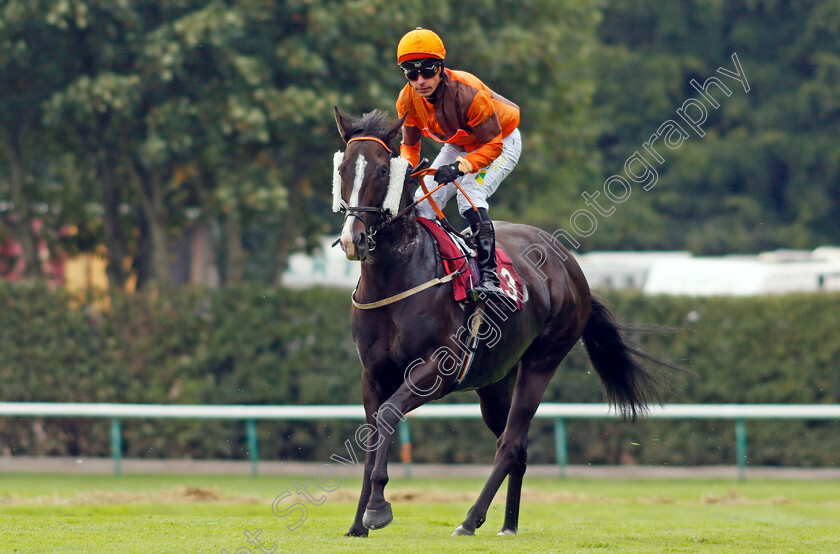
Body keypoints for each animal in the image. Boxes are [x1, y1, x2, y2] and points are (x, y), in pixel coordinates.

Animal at [332, 108, 668, 536]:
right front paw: (358, 521)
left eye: (379, 170)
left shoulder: (436, 371)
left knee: (510, 443)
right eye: (343, 168)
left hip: (542, 361)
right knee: (515, 445)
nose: (353, 239)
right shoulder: (373, 373)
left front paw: (377, 508)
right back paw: (508, 524)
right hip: (494, 380)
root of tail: (571, 266)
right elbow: (373, 433)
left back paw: (470, 520)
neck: (397, 278)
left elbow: (389, 415)